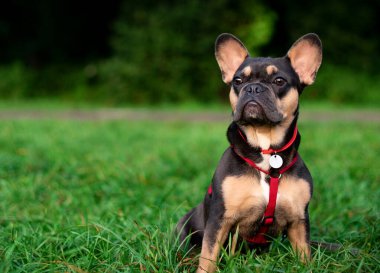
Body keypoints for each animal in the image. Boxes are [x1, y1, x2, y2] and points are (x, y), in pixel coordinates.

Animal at [177, 33, 322, 270]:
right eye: (238, 81)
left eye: (279, 81)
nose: (253, 88)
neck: (265, 147)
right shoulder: (219, 218)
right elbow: (208, 254)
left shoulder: (299, 220)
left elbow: (304, 254)